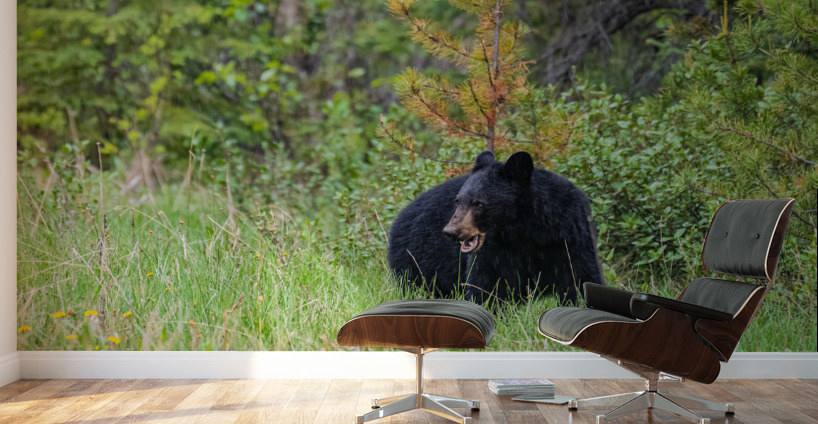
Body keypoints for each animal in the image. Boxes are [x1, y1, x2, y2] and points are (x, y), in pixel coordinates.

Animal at [387, 150, 603, 303]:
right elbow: (488, 285)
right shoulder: (494, 252)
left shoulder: (570, 234)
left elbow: (580, 277)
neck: (524, 231)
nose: (451, 232)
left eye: (479, 203)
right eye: (458, 200)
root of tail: (399, 217)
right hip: (418, 261)